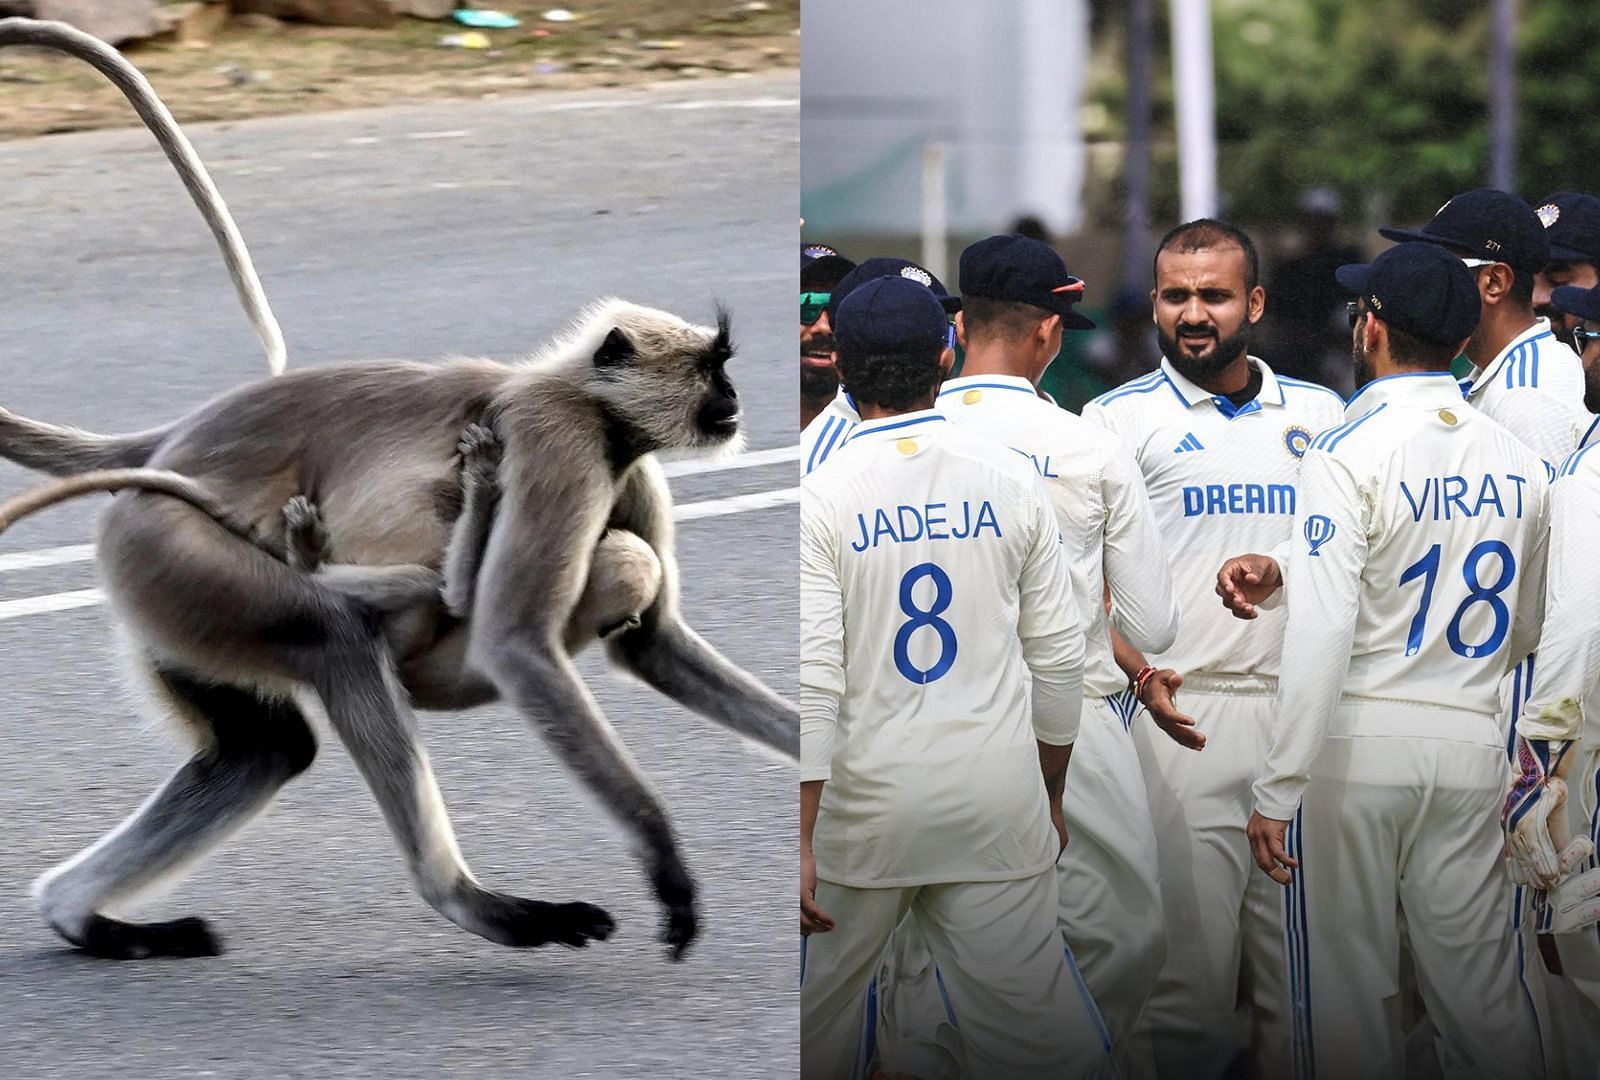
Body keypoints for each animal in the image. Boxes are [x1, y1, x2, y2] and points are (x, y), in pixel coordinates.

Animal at [3, 297, 793, 966]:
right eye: (711, 369)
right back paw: (476, 904)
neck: (588, 402)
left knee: (264, 749)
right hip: (172, 548)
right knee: (343, 638)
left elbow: (652, 644)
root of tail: (170, 441)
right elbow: (513, 642)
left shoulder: (626, 460)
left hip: (164, 596)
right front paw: (664, 859)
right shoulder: (559, 439)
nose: (734, 400)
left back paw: (82, 919)